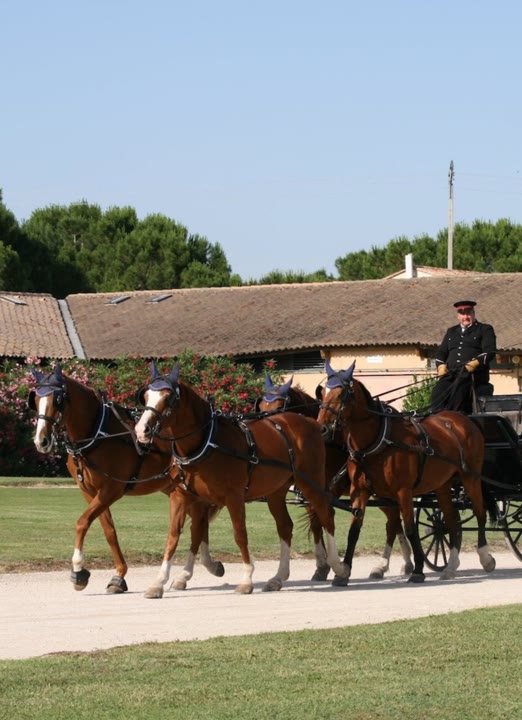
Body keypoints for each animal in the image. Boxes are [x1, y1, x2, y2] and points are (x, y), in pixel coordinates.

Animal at [29, 366, 223, 596]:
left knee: (198, 523)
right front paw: (118, 576)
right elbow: (109, 531)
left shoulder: (111, 490)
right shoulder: (90, 492)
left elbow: (82, 522)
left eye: (57, 399)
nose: (41, 440)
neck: (98, 433)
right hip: (177, 488)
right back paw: (202, 568)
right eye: (36, 399)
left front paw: (78, 571)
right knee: (199, 522)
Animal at [134, 362, 350, 592]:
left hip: (312, 484)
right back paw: (279, 577)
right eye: (146, 396)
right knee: (285, 526)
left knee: (326, 516)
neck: (207, 442)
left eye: (168, 398)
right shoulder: (184, 496)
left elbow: (239, 533)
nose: (141, 430)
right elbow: (176, 535)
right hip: (276, 492)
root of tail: (310, 422)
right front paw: (160, 581)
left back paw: (338, 567)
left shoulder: (234, 497)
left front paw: (246, 578)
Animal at [255, 376, 410, 580]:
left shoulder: (328, 491)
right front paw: (322, 565)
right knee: (395, 521)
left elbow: (322, 517)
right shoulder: (309, 492)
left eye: (280, 405)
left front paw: (326, 566)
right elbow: (315, 523)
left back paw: (387, 565)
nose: (266, 433)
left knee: (393, 521)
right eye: (261, 406)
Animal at [314, 360, 494, 584]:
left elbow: (409, 528)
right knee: (452, 521)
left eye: (342, 394)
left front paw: (417, 570)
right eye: (322, 392)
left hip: (470, 478)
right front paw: (344, 571)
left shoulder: (403, 492)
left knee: (480, 512)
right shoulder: (361, 491)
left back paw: (485, 557)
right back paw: (451, 566)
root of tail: (463, 420)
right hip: (442, 486)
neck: (378, 441)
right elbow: (354, 530)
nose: (321, 429)